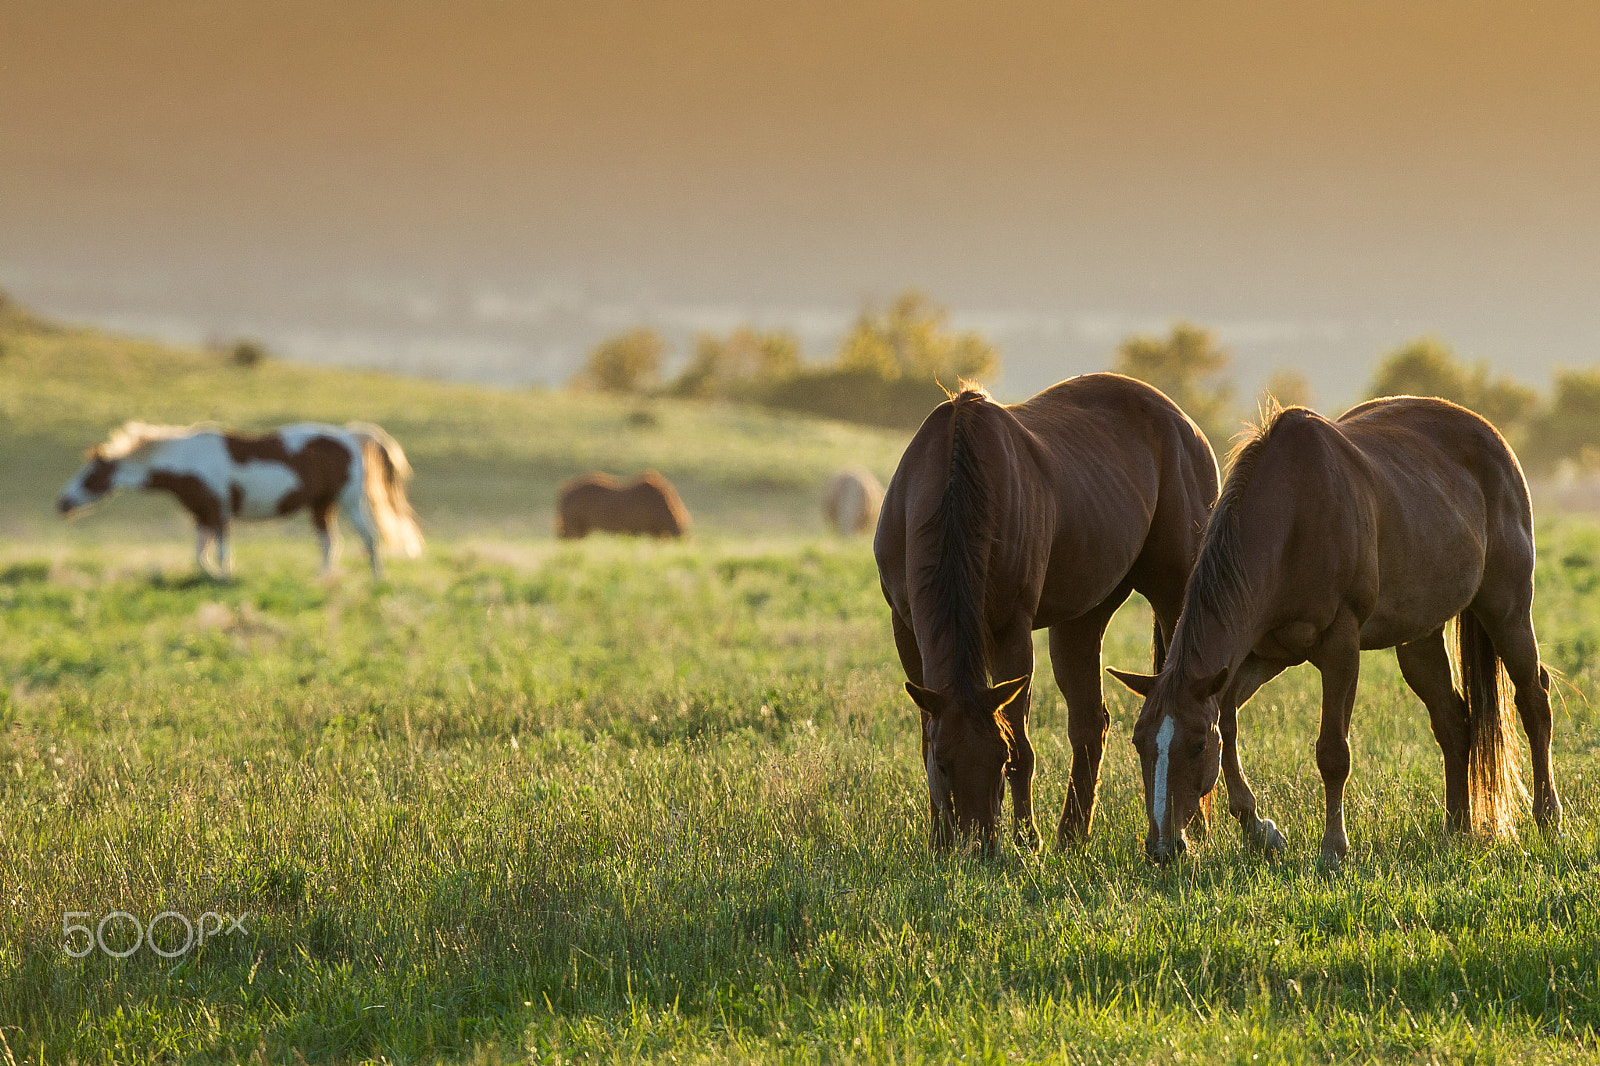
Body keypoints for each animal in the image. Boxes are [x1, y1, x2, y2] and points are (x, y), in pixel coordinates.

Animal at [59, 419, 422, 576]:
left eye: (90, 476)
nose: (62, 503)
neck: (187, 460)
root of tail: (350, 435)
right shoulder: (201, 514)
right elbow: (200, 555)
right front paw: (209, 577)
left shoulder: (219, 511)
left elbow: (219, 553)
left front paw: (224, 579)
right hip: (321, 505)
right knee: (330, 543)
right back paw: (323, 579)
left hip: (347, 500)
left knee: (368, 538)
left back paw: (376, 578)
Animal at [870, 371, 1216, 845]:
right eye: (944, 764)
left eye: (998, 758)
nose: (979, 844)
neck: (953, 480)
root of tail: (1186, 425)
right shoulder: (904, 628)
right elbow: (926, 735)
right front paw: (938, 842)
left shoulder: (1011, 630)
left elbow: (1023, 743)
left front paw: (1025, 841)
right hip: (1082, 617)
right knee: (1090, 723)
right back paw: (1072, 835)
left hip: (1174, 592)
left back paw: (1194, 825)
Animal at [1113, 396, 1561, 864]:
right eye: (1139, 742)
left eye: (1198, 745)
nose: (1162, 847)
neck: (1291, 518)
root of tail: (1494, 440)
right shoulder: (1262, 654)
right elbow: (1230, 720)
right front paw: (1260, 828)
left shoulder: (1340, 647)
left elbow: (1332, 752)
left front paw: (1332, 848)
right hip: (1419, 637)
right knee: (1453, 720)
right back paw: (1457, 828)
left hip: (1507, 609)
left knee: (1534, 698)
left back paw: (1548, 818)